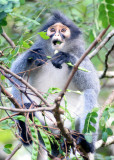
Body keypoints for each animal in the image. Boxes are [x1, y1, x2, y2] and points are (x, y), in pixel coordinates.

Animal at [10, 11, 100, 160]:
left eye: (63, 31)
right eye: (52, 30)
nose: (56, 35)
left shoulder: (81, 54)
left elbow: (93, 86)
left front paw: (67, 57)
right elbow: (13, 76)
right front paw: (32, 55)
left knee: (90, 92)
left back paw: (83, 143)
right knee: (18, 87)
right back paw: (26, 128)